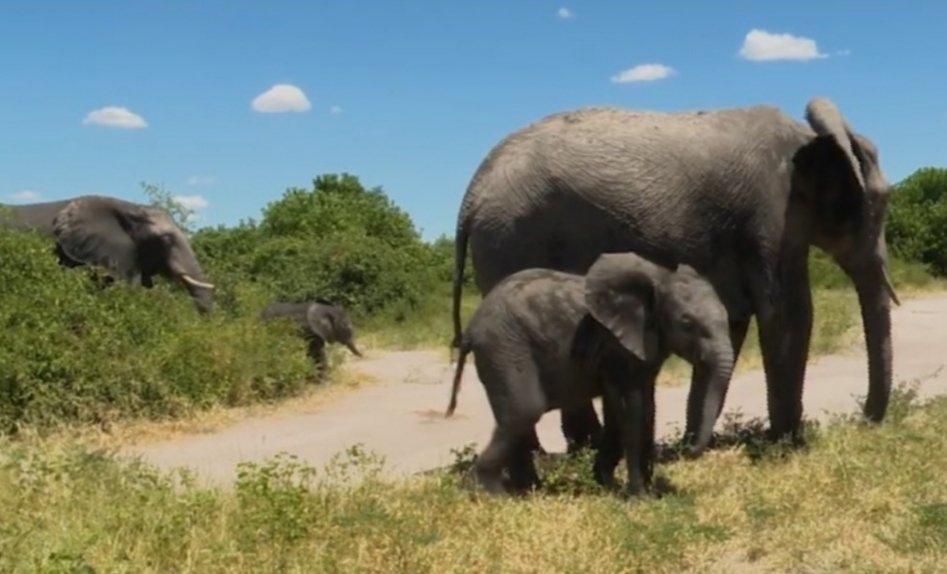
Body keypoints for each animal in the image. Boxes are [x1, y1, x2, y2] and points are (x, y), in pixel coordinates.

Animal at [445, 252, 733, 497]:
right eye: (687, 324)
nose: (682, 450)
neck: (660, 278)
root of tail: (471, 328)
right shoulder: (616, 344)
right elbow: (631, 408)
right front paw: (639, 498)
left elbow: (643, 408)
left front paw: (614, 487)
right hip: (504, 347)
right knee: (524, 411)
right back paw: (495, 495)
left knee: (518, 419)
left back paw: (528, 491)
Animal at [450, 97, 899, 456]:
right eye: (880, 204)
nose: (864, 420)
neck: (811, 137)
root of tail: (470, 196)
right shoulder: (771, 214)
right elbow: (788, 316)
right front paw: (790, 445)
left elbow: (734, 319)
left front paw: (694, 444)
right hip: (512, 239)